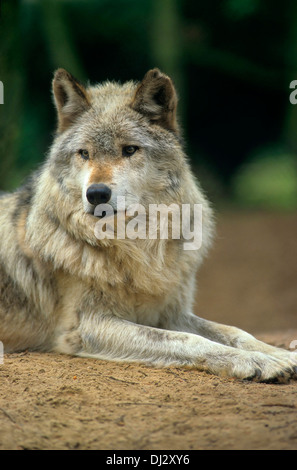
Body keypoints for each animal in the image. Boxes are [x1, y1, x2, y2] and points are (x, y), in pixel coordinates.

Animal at [0, 68, 296, 382]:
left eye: (130, 149)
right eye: (84, 153)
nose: (96, 194)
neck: (137, 246)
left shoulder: (170, 313)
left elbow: (236, 331)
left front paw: (280, 354)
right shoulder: (87, 326)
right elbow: (190, 340)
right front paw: (256, 361)